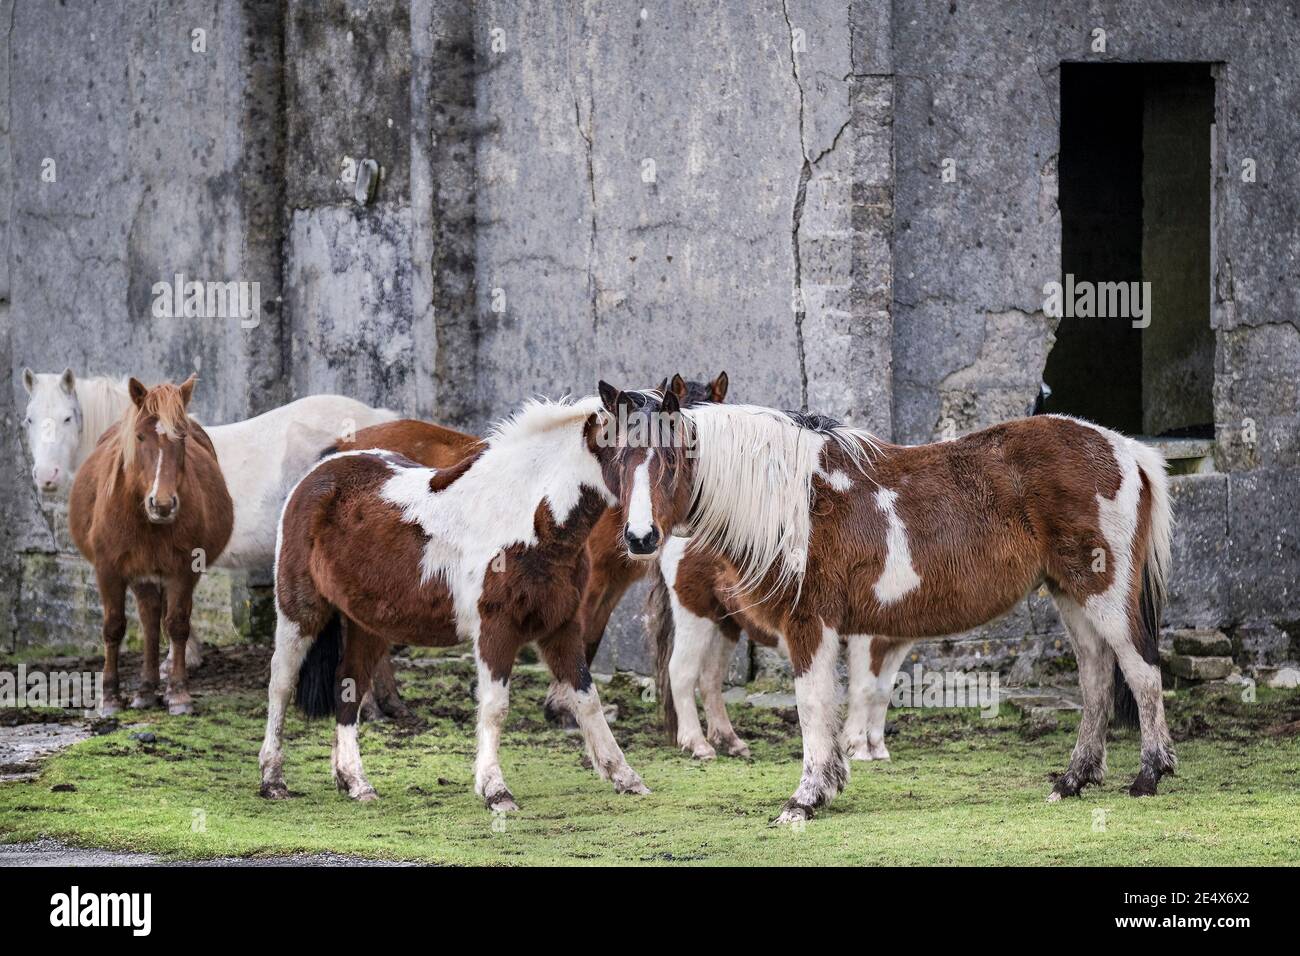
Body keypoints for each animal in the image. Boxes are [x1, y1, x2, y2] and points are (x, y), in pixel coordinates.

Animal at [71, 377, 235, 712]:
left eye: (181, 437)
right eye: (140, 436)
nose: (162, 504)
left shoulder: (184, 569)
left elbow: (177, 624)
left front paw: (179, 693)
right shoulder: (109, 569)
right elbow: (114, 626)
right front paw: (110, 696)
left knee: (157, 619)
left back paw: (152, 688)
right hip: (141, 572)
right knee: (147, 619)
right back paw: (145, 690)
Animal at [258, 395, 650, 806]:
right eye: (629, 451)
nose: (644, 536)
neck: (528, 516)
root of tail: (318, 471)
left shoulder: (561, 627)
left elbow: (586, 698)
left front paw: (624, 776)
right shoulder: (496, 630)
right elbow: (495, 706)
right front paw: (495, 789)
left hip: (367, 623)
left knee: (348, 686)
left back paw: (354, 781)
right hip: (300, 611)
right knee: (281, 683)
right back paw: (273, 780)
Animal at [600, 385, 1180, 827]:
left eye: (670, 460)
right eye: (619, 460)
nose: (640, 537)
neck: (794, 500)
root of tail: (1124, 449)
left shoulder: (811, 625)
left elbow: (815, 706)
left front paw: (805, 799)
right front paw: (829, 783)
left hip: (1104, 592)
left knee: (1141, 671)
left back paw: (1149, 774)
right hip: (1071, 594)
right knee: (1097, 677)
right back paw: (1073, 779)